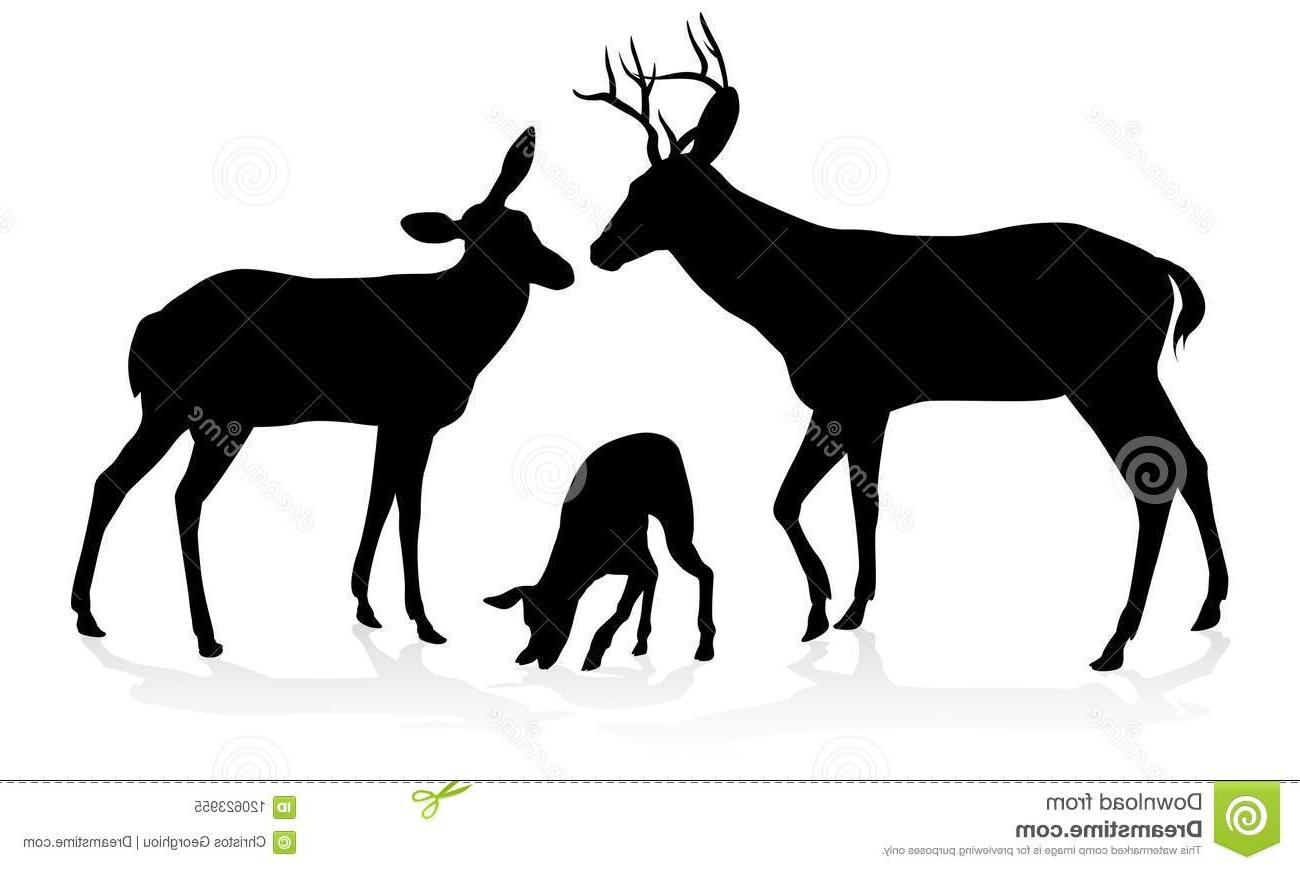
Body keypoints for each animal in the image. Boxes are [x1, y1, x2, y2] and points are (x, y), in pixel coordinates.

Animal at [71, 127, 573, 657]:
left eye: (528, 225)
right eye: (483, 236)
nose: (563, 271)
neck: (462, 338)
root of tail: (145, 330)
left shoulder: (388, 422)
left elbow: (380, 497)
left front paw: (366, 607)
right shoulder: (417, 420)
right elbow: (410, 511)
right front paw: (424, 622)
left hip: (170, 413)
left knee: (114, 481)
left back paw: (88, 615)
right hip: (218, 416)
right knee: (182, 496)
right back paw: (206, 635)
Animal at [484, 432, 715, 670]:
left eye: (550, 618)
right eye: (528, 623)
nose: (535, 659)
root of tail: (664, 438)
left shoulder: (635, 564)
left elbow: (623, 606)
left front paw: (595, 652)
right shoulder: (633, 561)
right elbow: (640, 587)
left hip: (676, 529)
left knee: (704, 572)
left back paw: (705, 646)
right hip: (646, 537)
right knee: (657, 573)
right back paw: (642, 642)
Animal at [575, 18, 1229, 671]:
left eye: (654, 191)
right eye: (633, 183)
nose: (599, 249)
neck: (786, 306)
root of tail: (1166, 271)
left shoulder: (848, 395)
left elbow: (801, 502)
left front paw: (821, 609)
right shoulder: (867, 404)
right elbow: (850, 504)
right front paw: (848, 609)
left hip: (1108, 376)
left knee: (1154, 475)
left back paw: (1116, 641)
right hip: (1130, 375)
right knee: (1190, 458)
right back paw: (1207, 607)